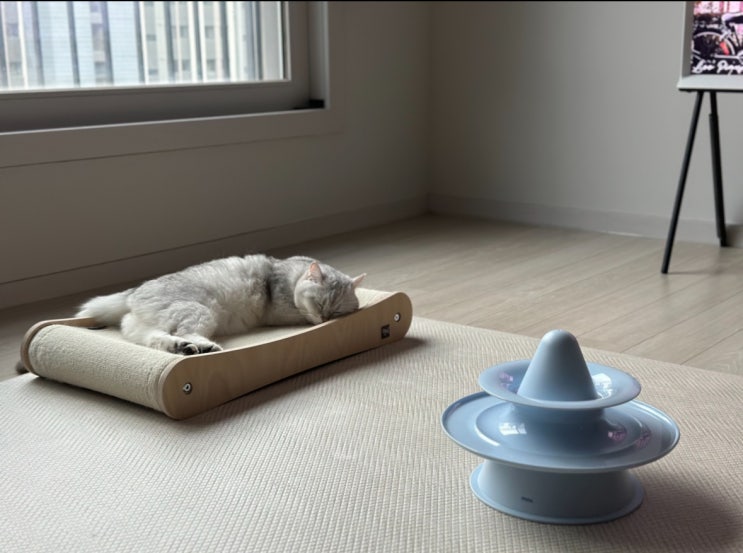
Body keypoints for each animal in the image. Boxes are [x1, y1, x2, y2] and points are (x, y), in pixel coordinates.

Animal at [75, 254, 365, 355]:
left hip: (148, 325)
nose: (325, 319)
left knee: (156, 339)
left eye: (337, 311)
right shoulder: (282, 310)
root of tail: (134, 292)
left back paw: (182, 348)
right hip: (199, 312)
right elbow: (299, 315)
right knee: (183, 332)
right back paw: (203, 347)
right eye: (319, 304)